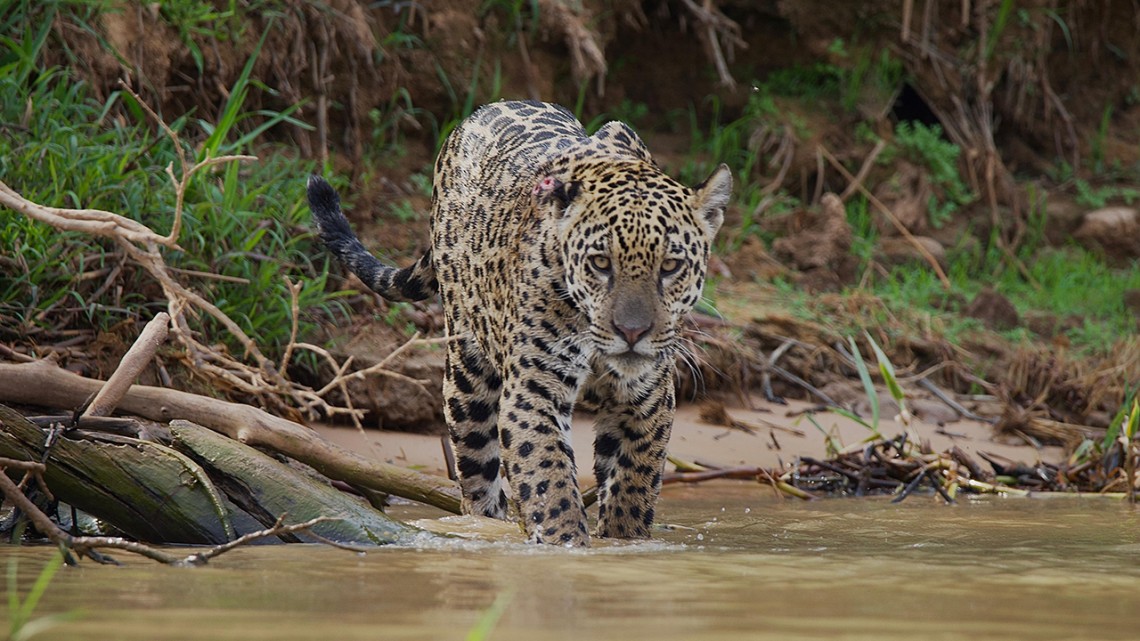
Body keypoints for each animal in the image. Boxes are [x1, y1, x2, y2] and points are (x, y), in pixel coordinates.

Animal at [307, 100, 730, 546]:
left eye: (670, 266)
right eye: (600, 263)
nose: (632, 333)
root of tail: (485, 110)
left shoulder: (648, 399)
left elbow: (633, 485)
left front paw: (621, 543)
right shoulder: (534, 391)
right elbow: (549, 480)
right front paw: (568, 545)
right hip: (467, 371)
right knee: (477, 474)